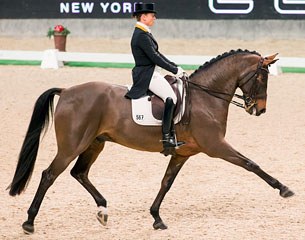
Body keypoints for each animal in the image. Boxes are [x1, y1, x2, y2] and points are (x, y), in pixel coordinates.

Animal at [7, 49, 292, 234]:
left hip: (95, 143)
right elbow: (251, 164)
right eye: (262, 77)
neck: (206, 97)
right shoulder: (216, 146)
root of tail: (66, 91)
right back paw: (29, 222)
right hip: (72, 145)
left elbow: (166, 183)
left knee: (79, 173)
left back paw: (103, 210)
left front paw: (156, 218)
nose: (260, 110)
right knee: (49, 175)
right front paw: (284, 189)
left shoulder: (183, 153)